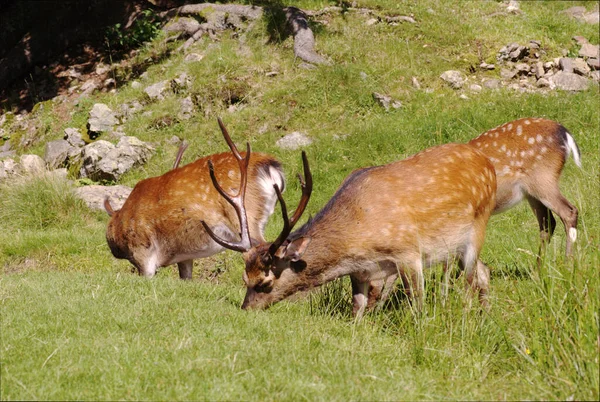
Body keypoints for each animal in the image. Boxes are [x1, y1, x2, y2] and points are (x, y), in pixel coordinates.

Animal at [200, 141, 496, 318]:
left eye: (265, 282)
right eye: (244, 278)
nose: (245, 310)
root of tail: (487, 163)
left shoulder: (408, 252)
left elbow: (417, 303)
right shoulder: (362, 271)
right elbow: (358, 307)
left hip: (478, 225)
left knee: (472, 279)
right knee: (484, 272)